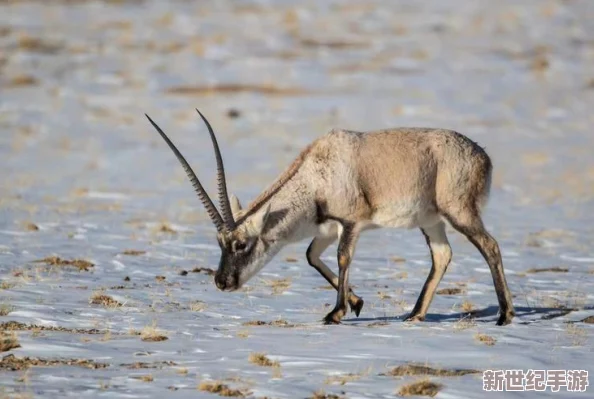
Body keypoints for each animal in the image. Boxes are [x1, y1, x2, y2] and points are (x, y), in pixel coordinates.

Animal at [147, 111, 512, 326]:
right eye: (220, 243)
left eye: (241, 244)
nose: (222, 282)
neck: (315, 174)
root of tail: (483, 156)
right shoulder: (326, 229)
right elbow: (311, 256)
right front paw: (356, 302)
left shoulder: (351, 224)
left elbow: (342, 257)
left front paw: (335, 313)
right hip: (431, 220)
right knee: (442, 254)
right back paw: (415, 314)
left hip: (459, 211)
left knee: (490, 246)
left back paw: (505, 315)